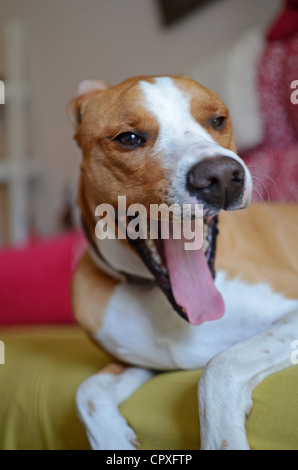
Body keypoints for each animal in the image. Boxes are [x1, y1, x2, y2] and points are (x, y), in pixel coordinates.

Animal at [67, 75, 298, 450]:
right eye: (128, 138)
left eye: (217, 121)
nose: (221, 176)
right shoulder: (138, 364)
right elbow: (86, 391)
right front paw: (114, 440)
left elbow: (219, 365)